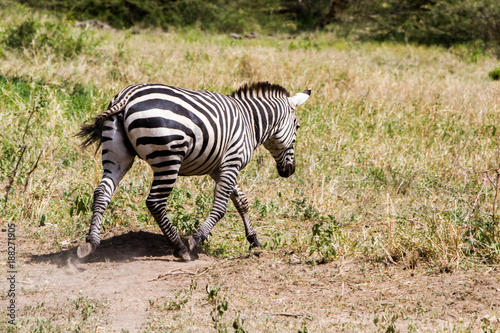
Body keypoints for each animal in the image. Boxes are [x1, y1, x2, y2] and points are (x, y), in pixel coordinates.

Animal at [76, 81, 310, 260]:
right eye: (297, 126)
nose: (290, 171)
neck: (250, 123)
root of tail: (127, 96)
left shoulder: (219, 168)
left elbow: (241, 201)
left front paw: (254, 240)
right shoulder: (231, 162)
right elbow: (221, 207)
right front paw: (194, 240)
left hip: (117, 156)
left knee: (102, 192)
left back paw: (91, 242)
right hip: (168, 159)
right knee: (155, 202)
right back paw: (179, 247)